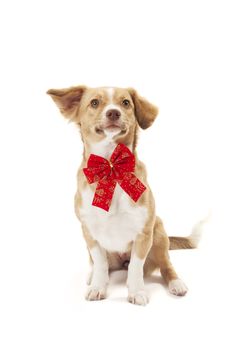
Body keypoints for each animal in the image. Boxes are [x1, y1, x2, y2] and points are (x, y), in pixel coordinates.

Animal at [46, 86, 200, 304]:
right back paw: (92, 276)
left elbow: (135, 267)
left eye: (126, 102)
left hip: (159, 234)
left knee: (165, 266)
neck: (111, 166)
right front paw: (97, 287)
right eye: (94, 102)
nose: (113, 112)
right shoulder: (90, 233)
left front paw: (137, 292)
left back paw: (176, 283)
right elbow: (100, 263)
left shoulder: (143, 234)